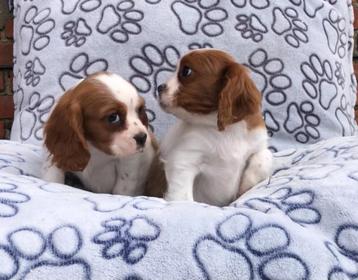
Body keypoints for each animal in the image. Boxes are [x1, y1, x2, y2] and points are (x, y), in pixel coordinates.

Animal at [155, 48, 272, 206]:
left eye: (186, 71)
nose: (159, 87)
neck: (226, 132)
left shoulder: (258, 140)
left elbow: (266, 156)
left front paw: (246, 185)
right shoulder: (185, 158)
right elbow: (183, 197)